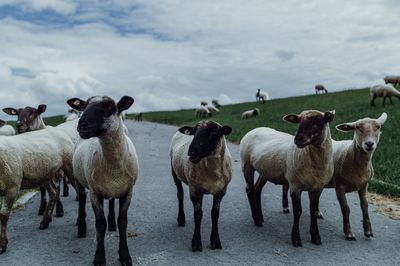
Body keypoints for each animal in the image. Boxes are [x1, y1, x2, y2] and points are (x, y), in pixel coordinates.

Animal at [0, 120, 77, 254]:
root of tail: (57, 129)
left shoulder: (12, 187)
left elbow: (3, 216)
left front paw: (2, 245)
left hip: (68, 164)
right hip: (44, 175)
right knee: (54, 193)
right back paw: (45, 222)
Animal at [66, 94, 138, 264]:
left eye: (109, 106)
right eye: (84, 106)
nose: (82, 125)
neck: (113, 165)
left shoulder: (128, 191)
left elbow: (122, 222)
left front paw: (125, 255)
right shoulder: (95, 193)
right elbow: (100, 224)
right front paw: (99, 257)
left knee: (111, 202)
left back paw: (112, 224)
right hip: (79, 178)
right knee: (81, 199)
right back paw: (81, 228)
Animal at [170, 120, 233, 251]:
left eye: (214, 131)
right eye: (194, 132)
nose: (192, 151)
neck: (212, 173)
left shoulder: (221, 191)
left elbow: (215, 214)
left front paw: (215, 241)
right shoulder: (195, 190)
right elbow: (198, 215)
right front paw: (196, 243)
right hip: (174, 172)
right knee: (180, 195)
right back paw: (181, 219)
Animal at [239, 110, 336, 247]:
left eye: (319, 120)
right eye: (299, 121)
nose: (298, 139)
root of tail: (255, 129)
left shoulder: (317, 188)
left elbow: (313, 211)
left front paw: (316, 237)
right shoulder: (295, 186)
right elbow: (298, 211)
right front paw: (296, 239)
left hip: (265, 171)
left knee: (257, 189)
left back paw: (260, 217)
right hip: (247, 165)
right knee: (249, 190)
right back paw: (256, 219)